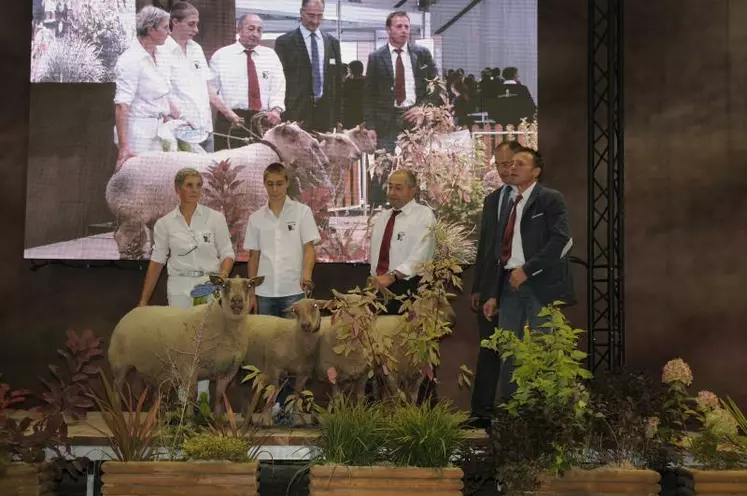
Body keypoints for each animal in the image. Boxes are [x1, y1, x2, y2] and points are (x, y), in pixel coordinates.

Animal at [107, 276, 262, 414]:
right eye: (224, 285)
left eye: (248, 286)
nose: (237, 301)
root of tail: (131, 312)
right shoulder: (189, 368)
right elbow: (192, 397)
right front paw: (189, 420)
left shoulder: (229, 371)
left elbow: (219, 396)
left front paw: (218, 421)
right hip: (119, 364)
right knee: (117, 388)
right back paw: (120, 412)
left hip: (146, 368)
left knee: (140, 391)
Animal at [240, 298, 322, 426]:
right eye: (295, 310)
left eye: (315, 306)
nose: (305, 325)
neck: (294, 337)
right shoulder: (274, 368)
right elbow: (272, 394)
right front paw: (266, 420)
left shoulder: (303, 373)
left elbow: (296, 396)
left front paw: (297, 418)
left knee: (245, 387)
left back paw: (247, 418)